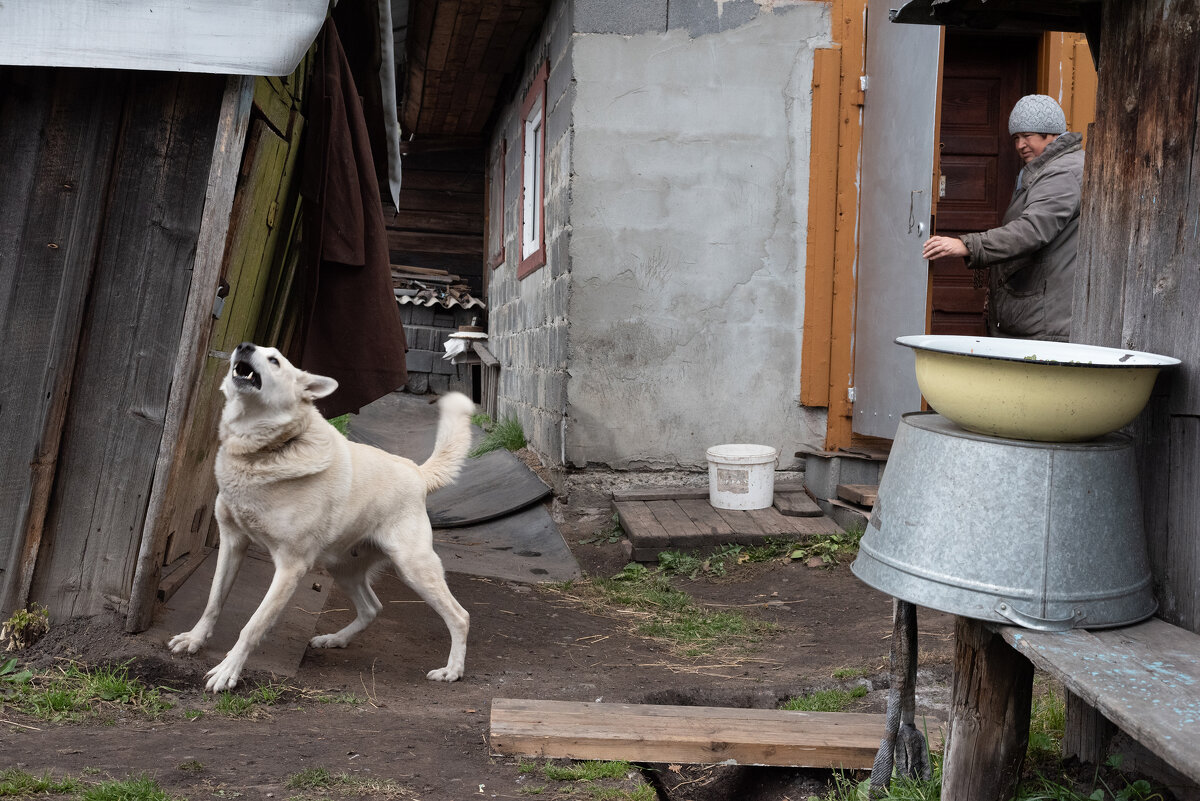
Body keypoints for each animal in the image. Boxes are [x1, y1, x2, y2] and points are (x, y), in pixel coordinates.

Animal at [171, 340, 475, 690]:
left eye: (274, 360)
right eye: (252, 348)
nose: (243, 346)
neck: (263, 453)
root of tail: (417, 472)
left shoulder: (290, 568)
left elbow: (253, 625)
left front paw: (227, 671)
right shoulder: (232, 542)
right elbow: (213, 601)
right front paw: (194, 639)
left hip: (414, 568)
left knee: (460, 616)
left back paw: (452, 670)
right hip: (343, 569)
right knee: (372, 608)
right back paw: (334, 640)